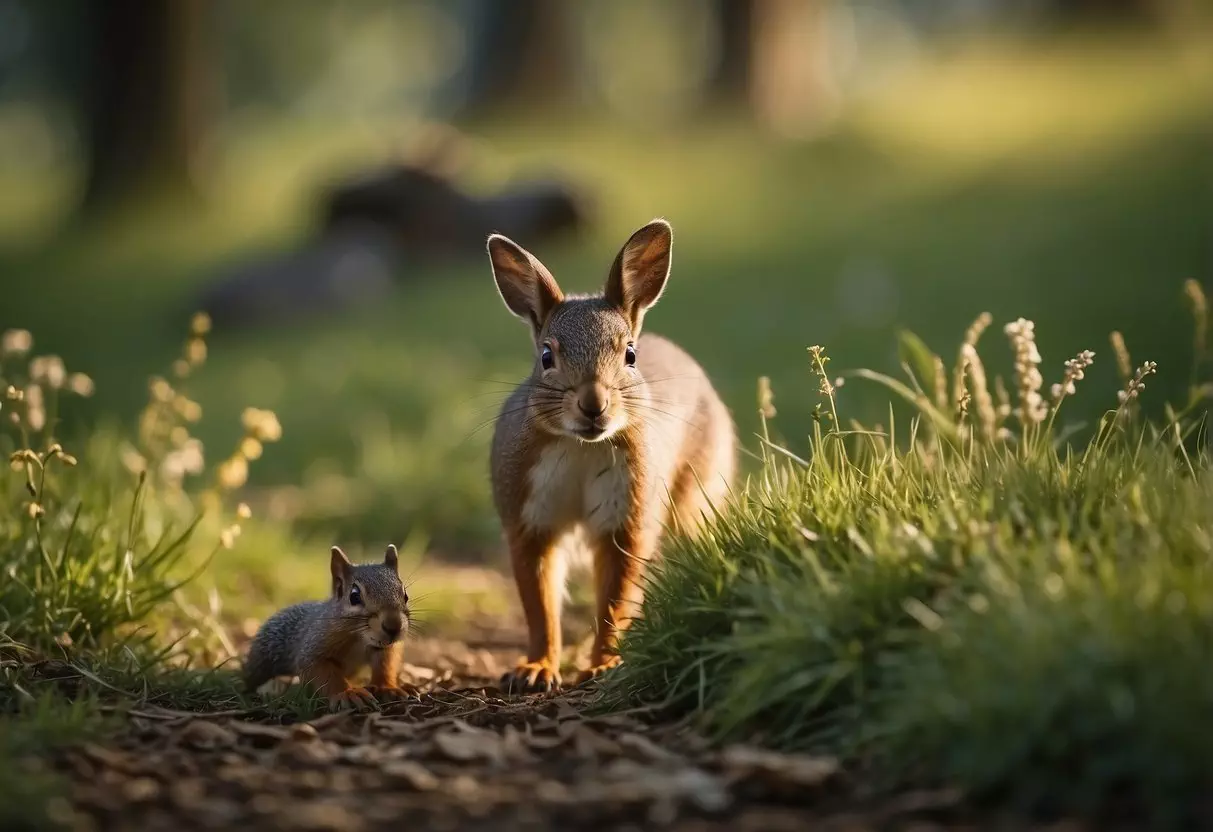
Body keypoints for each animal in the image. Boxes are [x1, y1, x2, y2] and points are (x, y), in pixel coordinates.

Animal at [243, 548, 414, 708]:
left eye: (405, 595)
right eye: (354, 596)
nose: (393, 627)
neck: (359, 639)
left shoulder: (385, 648)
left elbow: (385, 665)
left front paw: (388, 688)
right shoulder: (314, 647)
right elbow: (324, 673)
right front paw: (347, 693)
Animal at [485, 218, 732, 693]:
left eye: (630, 354)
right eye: (546, 356)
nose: (593, 404)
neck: (581, 446)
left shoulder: (627, 515)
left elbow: (616, 599)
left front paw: (604, 665)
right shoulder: (528, 516)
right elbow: (539, 604)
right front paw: (536, 668)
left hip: (696, 493)